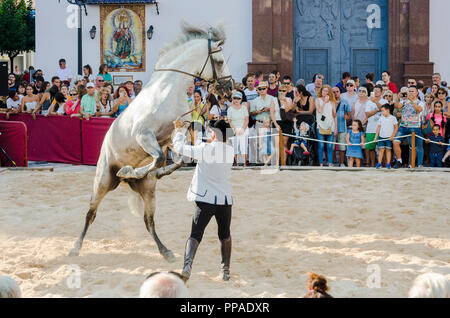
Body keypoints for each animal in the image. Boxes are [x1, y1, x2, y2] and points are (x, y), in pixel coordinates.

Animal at [69, 24, 236, 262]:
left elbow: (178, 160)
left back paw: (165, 251)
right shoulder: (144, 135)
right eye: (220, 61)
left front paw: (144, 172)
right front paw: (131, 170)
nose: (229, 88)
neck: (167, 91)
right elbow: (159, 158)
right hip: (102, 181)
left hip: (148, 193)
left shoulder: (173, 135)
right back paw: (76, 247)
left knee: (148, 222)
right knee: (90, 213)